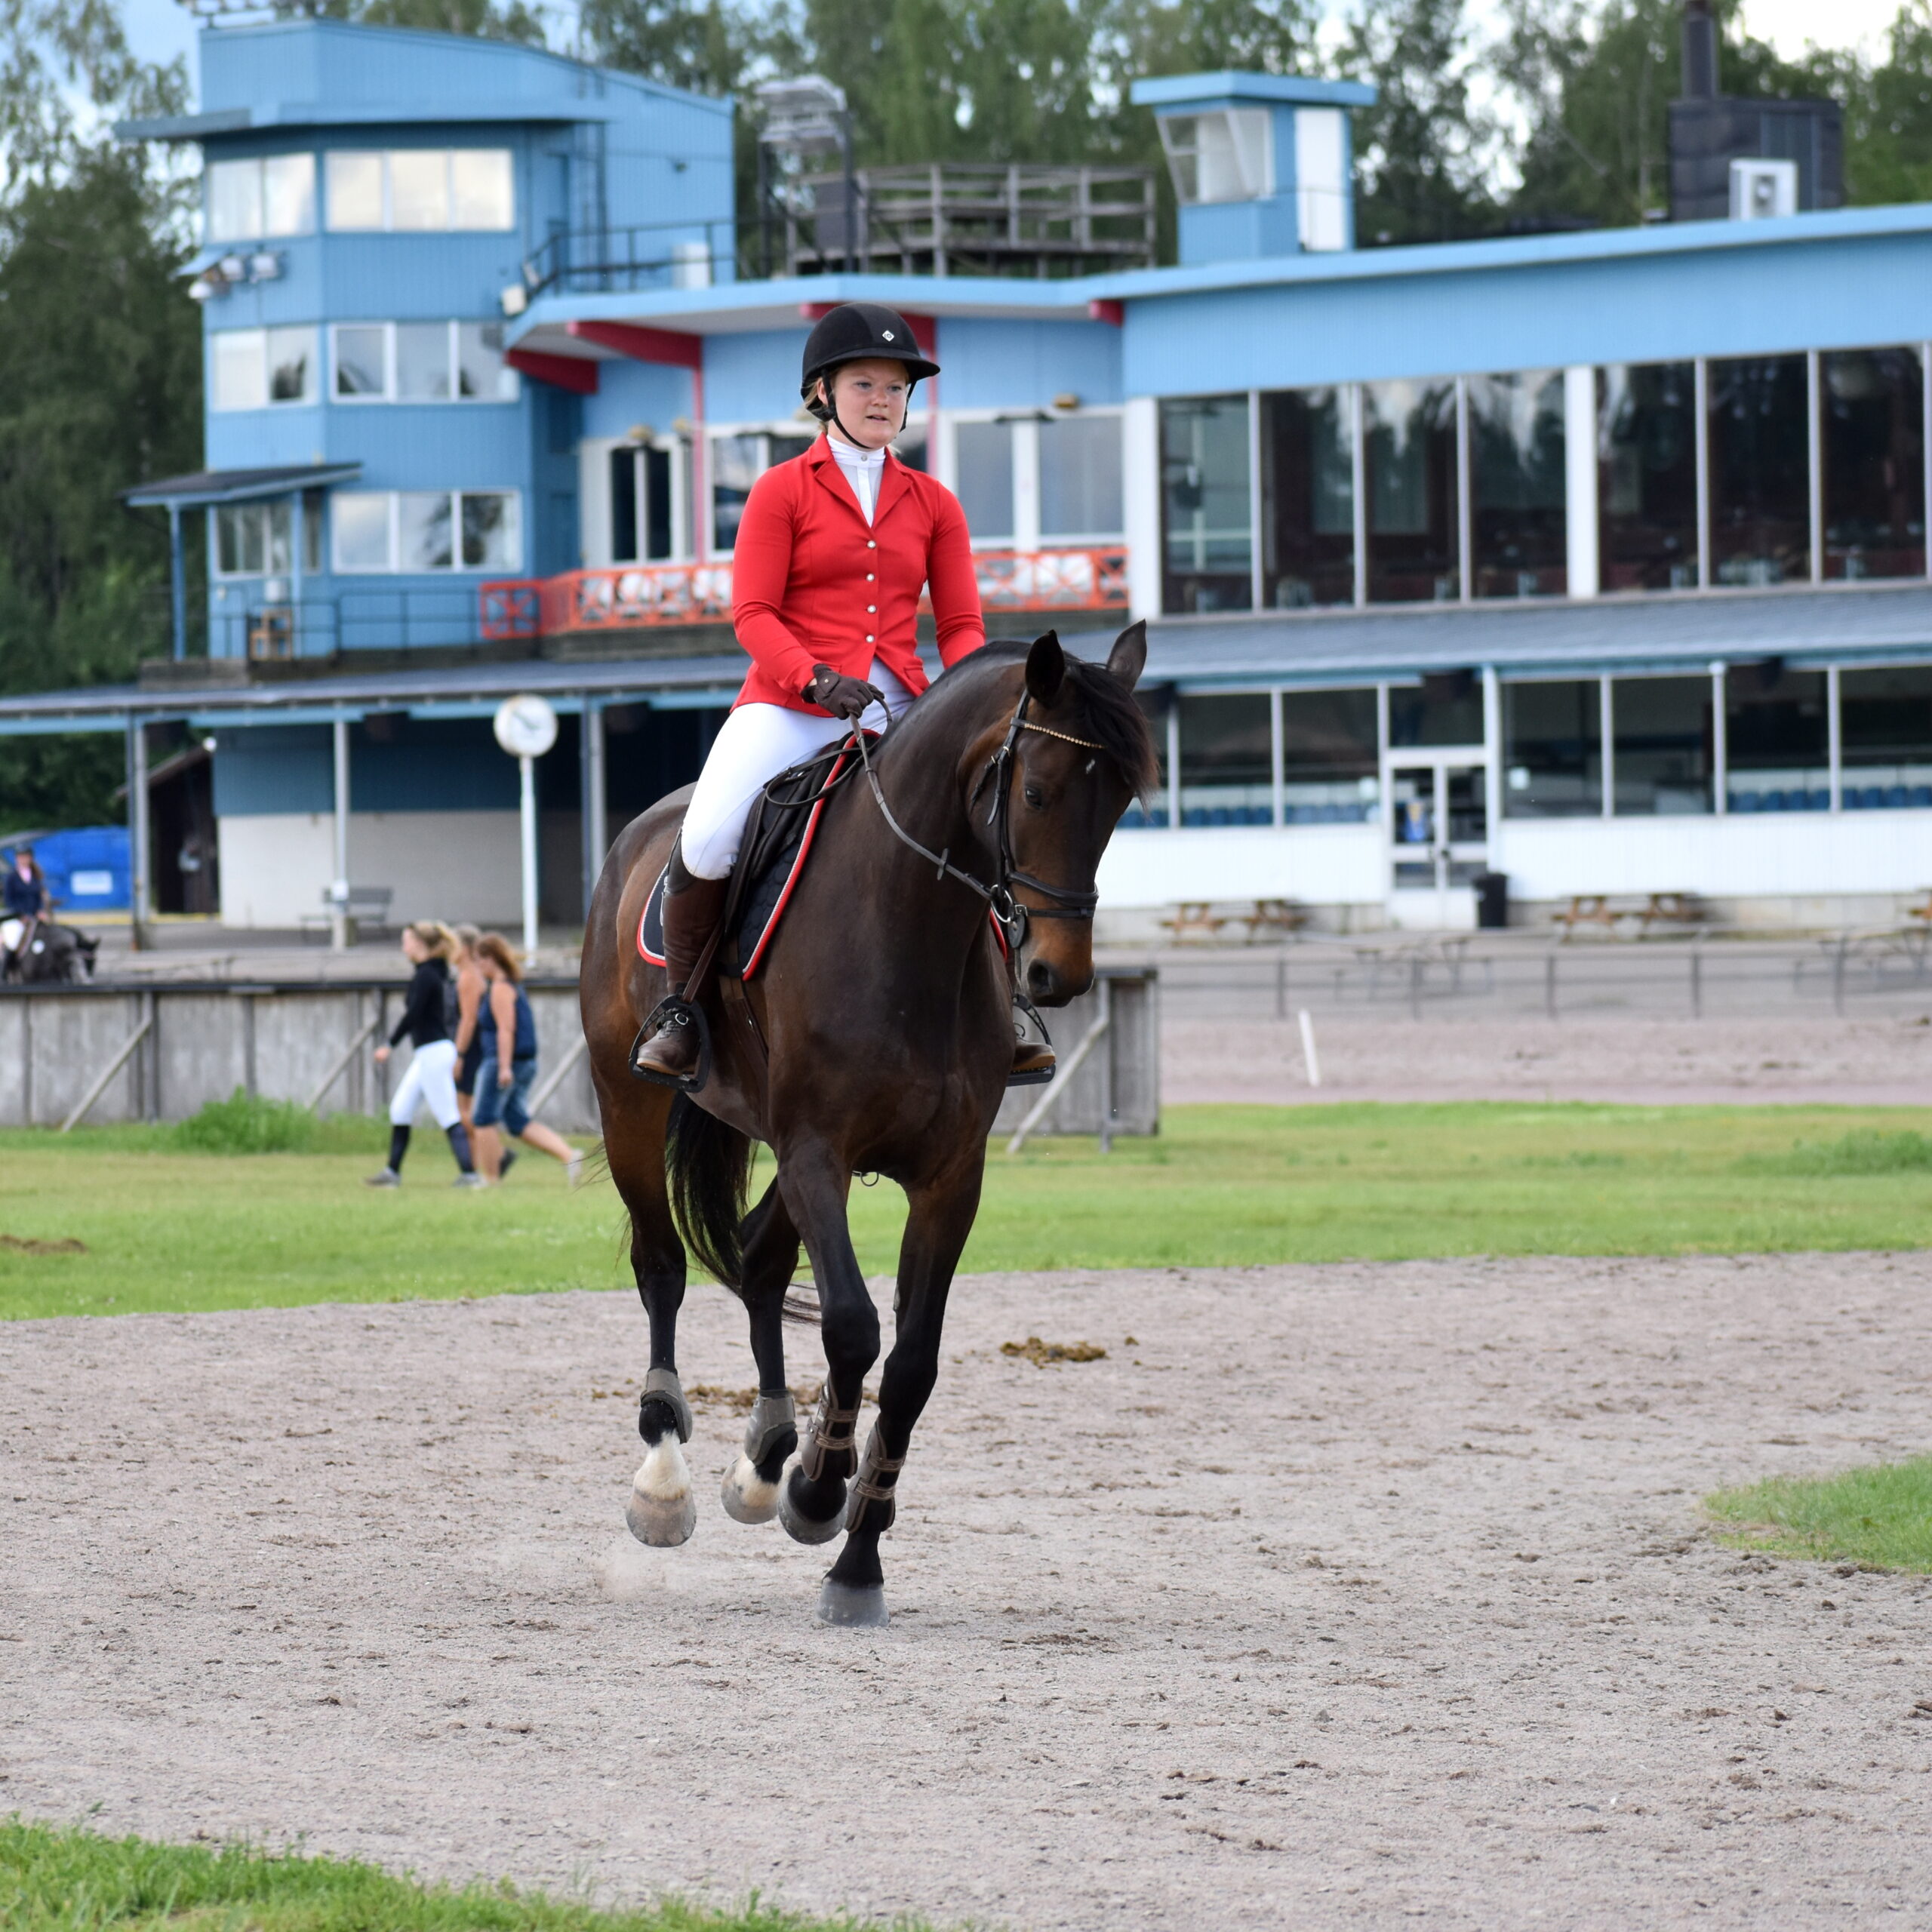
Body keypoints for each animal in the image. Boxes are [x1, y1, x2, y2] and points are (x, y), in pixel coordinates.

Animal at [579, 622, 1158, 1626]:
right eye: (1036, 791)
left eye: (1119, 801)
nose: (1060, 974)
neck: (907, 923)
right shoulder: (818, 1151)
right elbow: (851, 1326)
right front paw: (820, 1490)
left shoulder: (948, 1176)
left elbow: (913, 1364)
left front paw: (854, 1552)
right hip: (631, 1105)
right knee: (662, 1267)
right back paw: (667, 1479)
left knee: (759, 1258)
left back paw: (765, 1455)